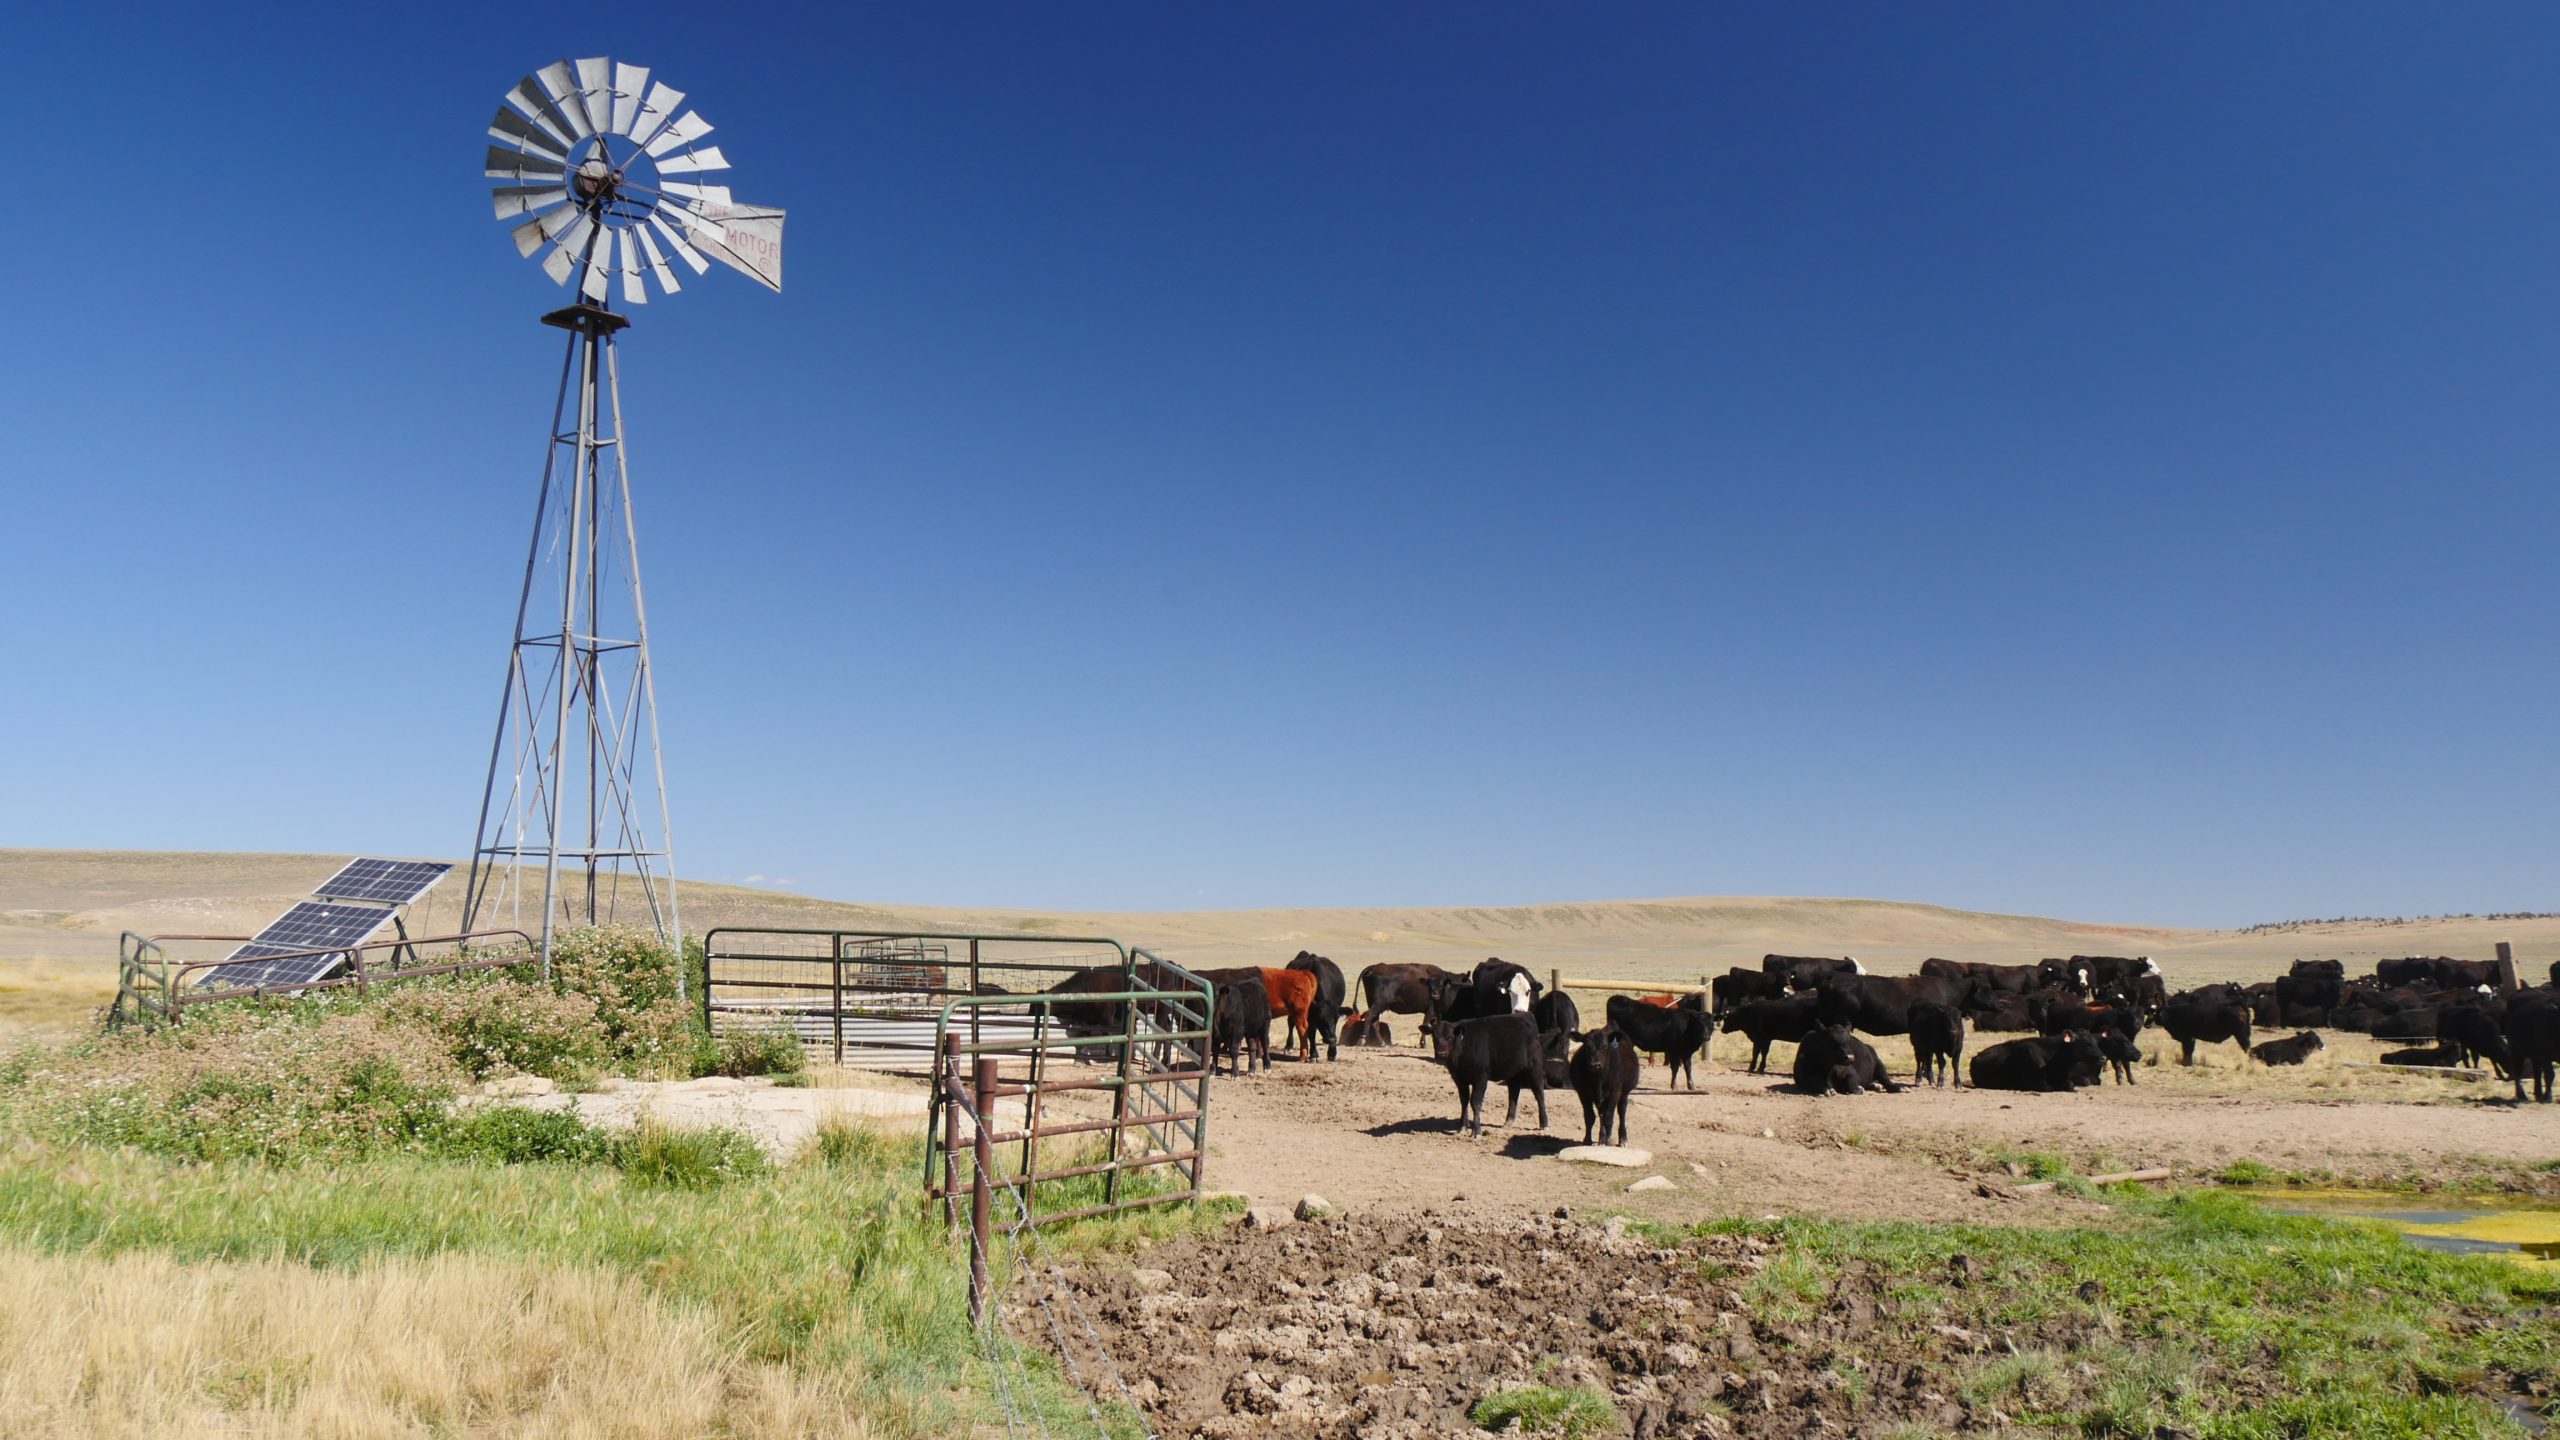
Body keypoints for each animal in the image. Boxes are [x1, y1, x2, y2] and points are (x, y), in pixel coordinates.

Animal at [1969, 1032, 2102, 1092]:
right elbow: (2048, 1087)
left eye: (2096, 1042)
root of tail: (1975, 1057)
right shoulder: (2032, 1083)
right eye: (2086, 1043)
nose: (2103, 1057)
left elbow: (2070, 1085)